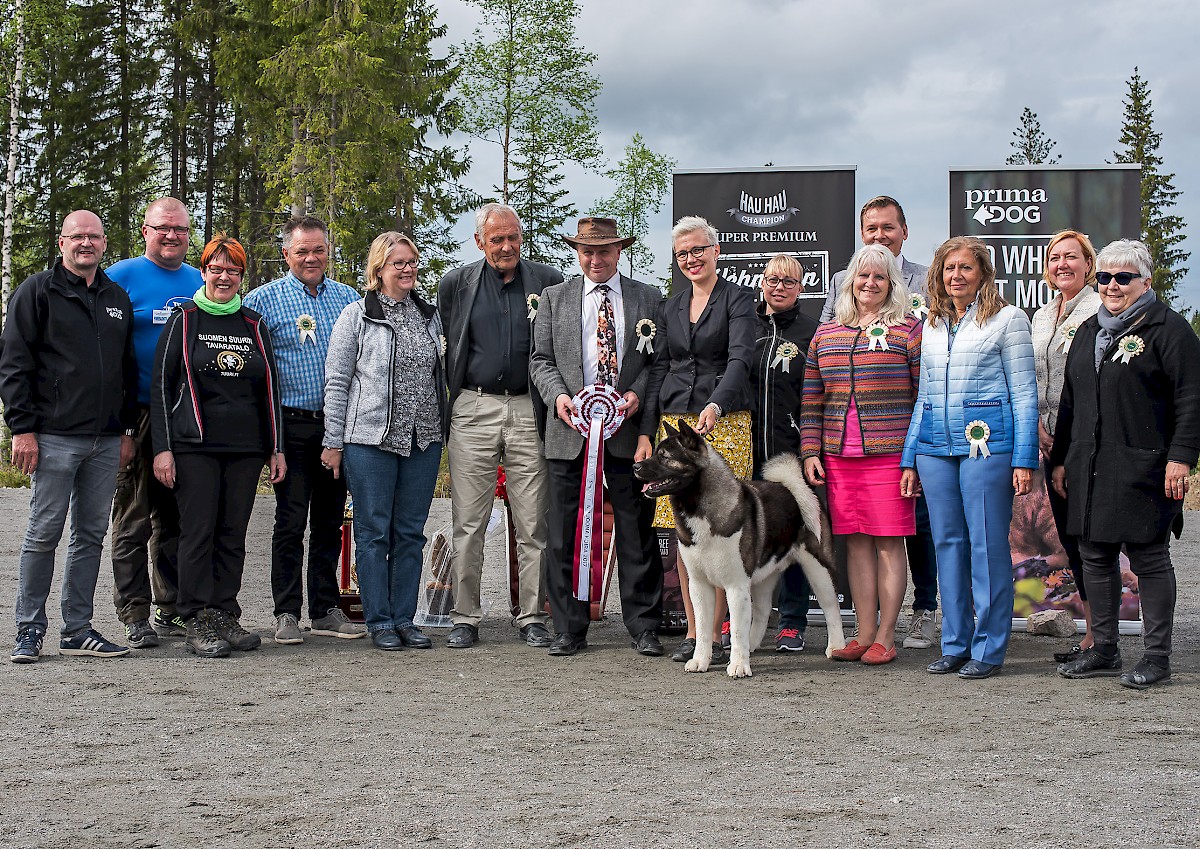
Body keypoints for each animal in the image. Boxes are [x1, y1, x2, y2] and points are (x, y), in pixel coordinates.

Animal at [638, 422, 844, 681]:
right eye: (655, 452)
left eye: (665, 456)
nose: (636, 466)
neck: (701, 507)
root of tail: (794, 487)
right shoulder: (699, 584)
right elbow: (703, 627)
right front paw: (700, 660)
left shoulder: (735, 585)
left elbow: (736, 628)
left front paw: (738, 665)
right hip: (765, 573)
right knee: (763, 610)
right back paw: (752, 644)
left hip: (818, 569)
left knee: (831, 607)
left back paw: (837, 647)